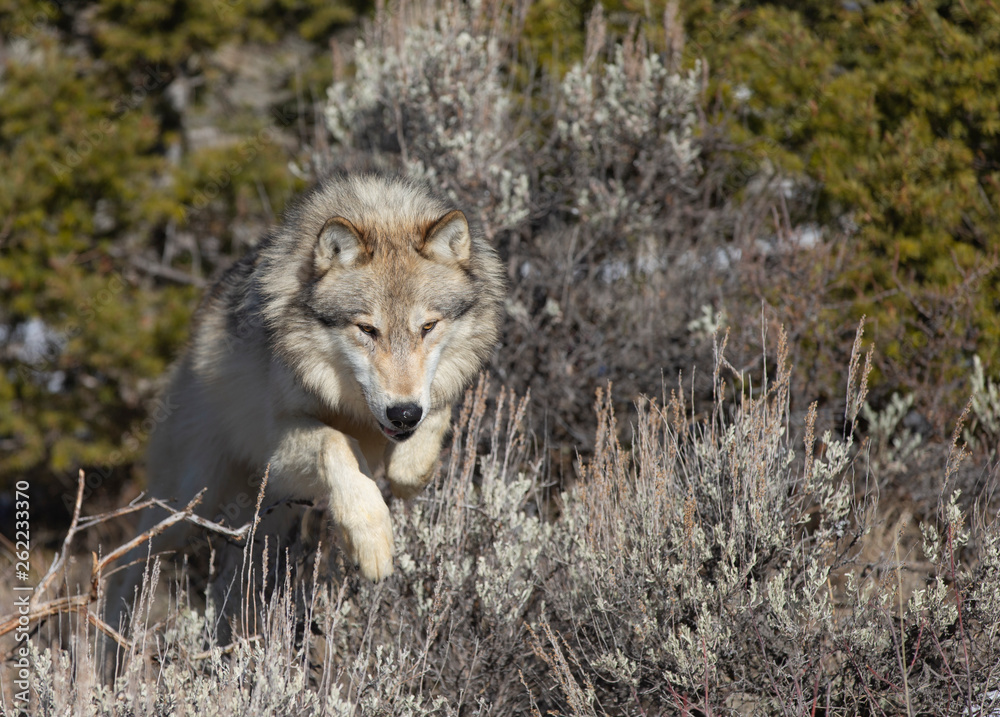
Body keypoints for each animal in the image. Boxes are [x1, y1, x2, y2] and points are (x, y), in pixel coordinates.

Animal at [109, 173, 505, 627]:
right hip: (188, 503)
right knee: (127, 568)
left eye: (427, 327)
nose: (403, 414)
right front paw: (369, 541)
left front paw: (406, 468)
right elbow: (338, 444)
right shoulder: (278, 443)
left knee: (234, 585)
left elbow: (427, 432)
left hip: (265, 520)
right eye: (367, 330)